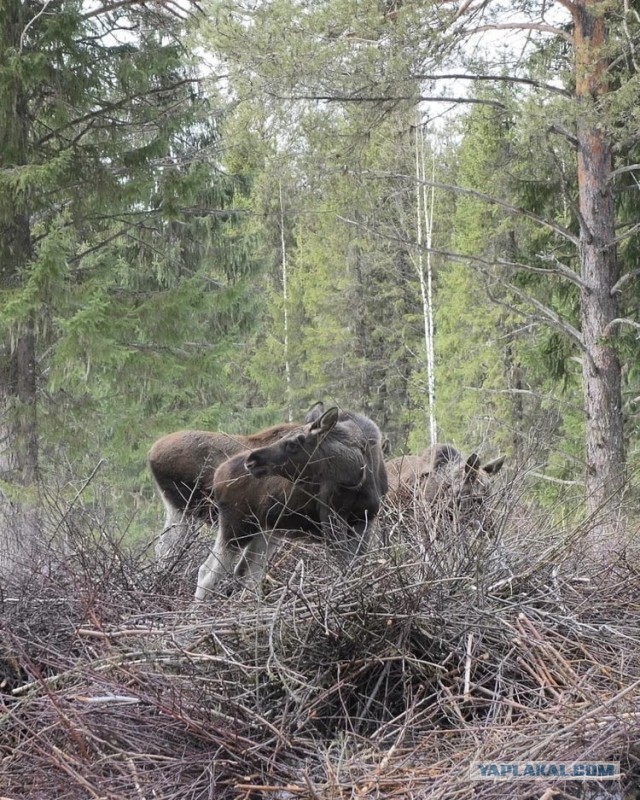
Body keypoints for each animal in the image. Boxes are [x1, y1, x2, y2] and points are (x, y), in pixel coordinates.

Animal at [195, 406, 388, 600]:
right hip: (237, 526)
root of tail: (218, 475)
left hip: (266, 531)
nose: (251, 460)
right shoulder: (331, 519)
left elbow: (358, 564)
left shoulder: (365, 519)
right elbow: (346, 567)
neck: (357, 475)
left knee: (248, 570)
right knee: (208, 572)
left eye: (294, 443)